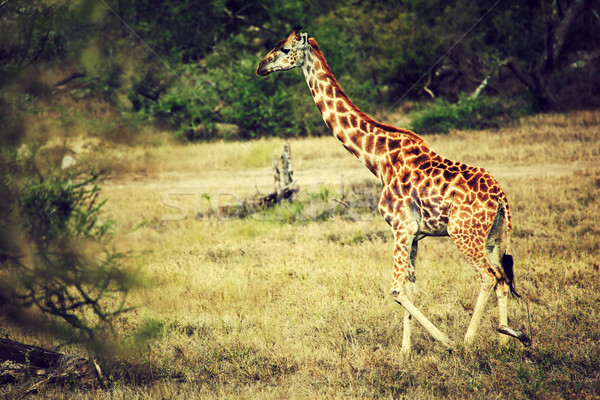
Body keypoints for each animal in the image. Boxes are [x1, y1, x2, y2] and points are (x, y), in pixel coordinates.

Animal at [256, 26, 528, 352]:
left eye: (284, 49)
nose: (260, 67)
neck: (376, 158)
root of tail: (501, 197)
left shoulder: (401, 226)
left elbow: (396, 290)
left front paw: (443, 341)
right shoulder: (414, 233)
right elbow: (409, 287)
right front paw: (405, 351)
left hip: (462, 232)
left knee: (488, 276)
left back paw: (468, 340)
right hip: (493, 236)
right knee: (502, 276)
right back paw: (507, 337)